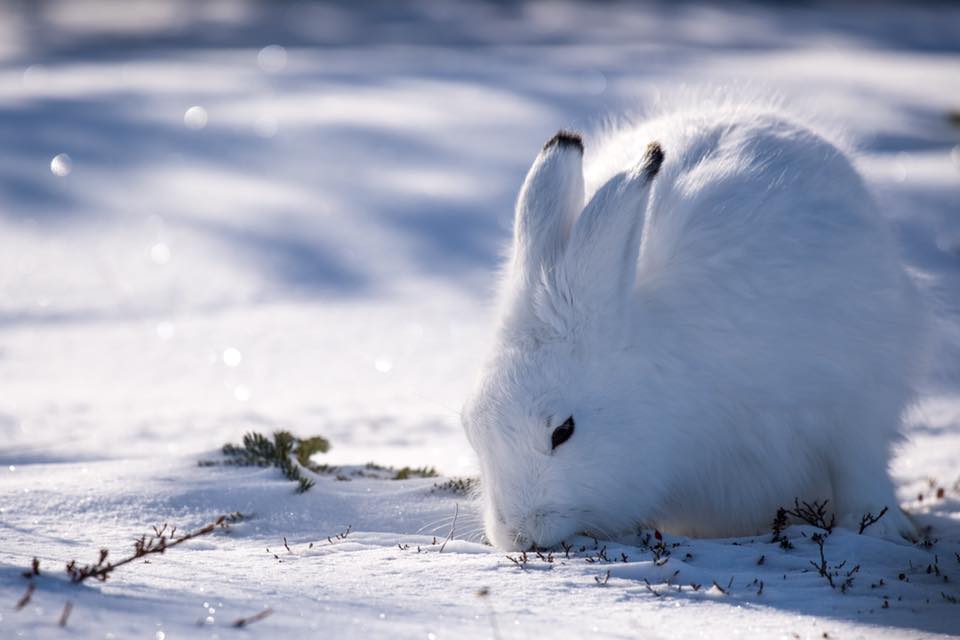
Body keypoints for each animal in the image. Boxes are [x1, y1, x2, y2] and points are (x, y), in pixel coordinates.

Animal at [461, 103, 930, 551]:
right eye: (471, 428)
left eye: (563, 431)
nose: (519, 534)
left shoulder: (849, 398)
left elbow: (857, 462)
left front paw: (877, 530)